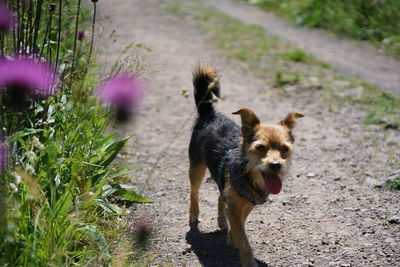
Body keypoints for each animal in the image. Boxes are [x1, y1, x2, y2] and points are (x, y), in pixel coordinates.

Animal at [188, 63, 304, 266]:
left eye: (284, 148)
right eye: (260, 147)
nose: (276, 165)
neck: (249, 176)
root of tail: (209, 114)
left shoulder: (247, 204)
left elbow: (239, 225)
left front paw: (231, 237)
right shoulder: (236, 208)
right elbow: (244, 239)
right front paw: (247, 258)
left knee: (220, 196)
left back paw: (222, 221)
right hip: (196, 167)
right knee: (194, 191)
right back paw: (194, 214)